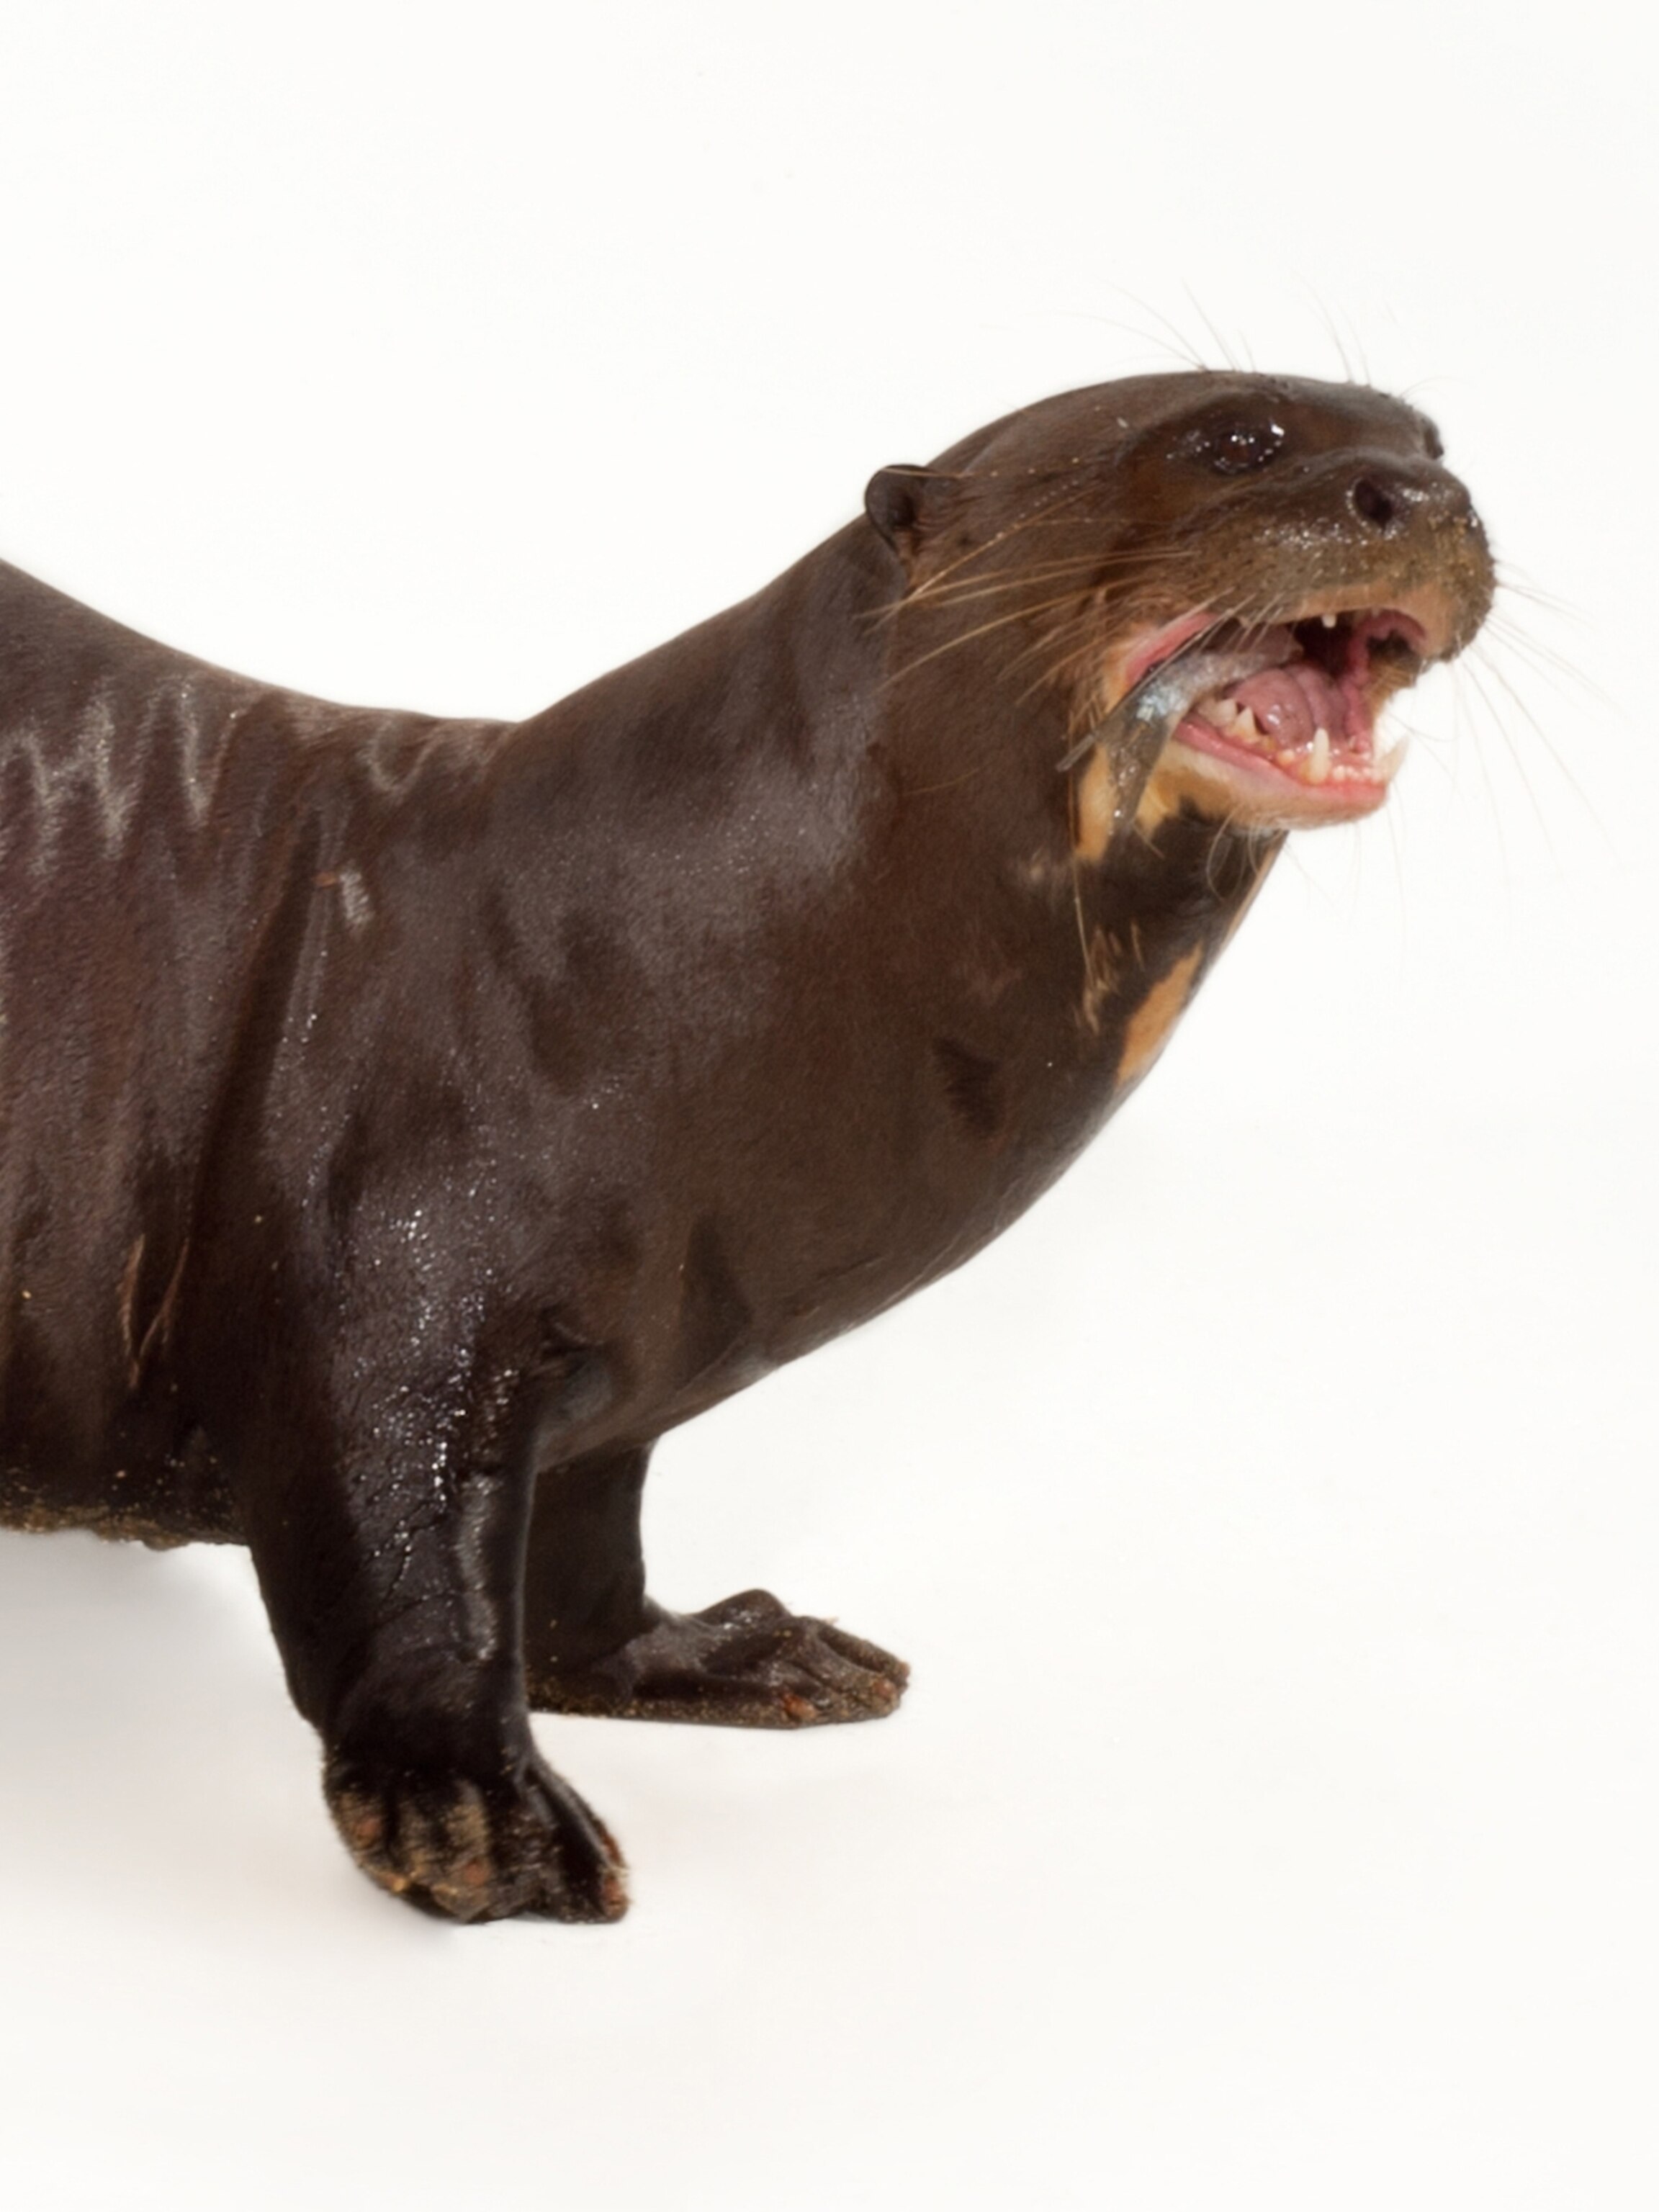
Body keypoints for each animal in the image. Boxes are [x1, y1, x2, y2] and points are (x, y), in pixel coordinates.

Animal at [0, 372, 1493, 1920]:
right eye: (1232, 444)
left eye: (1432, 444)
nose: (1414, 497)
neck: (602, 967)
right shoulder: (381, 1259)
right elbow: (398, 1547)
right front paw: (478, 1815)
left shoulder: (637, 1344)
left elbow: (574, 1552)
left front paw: (720, 1652)